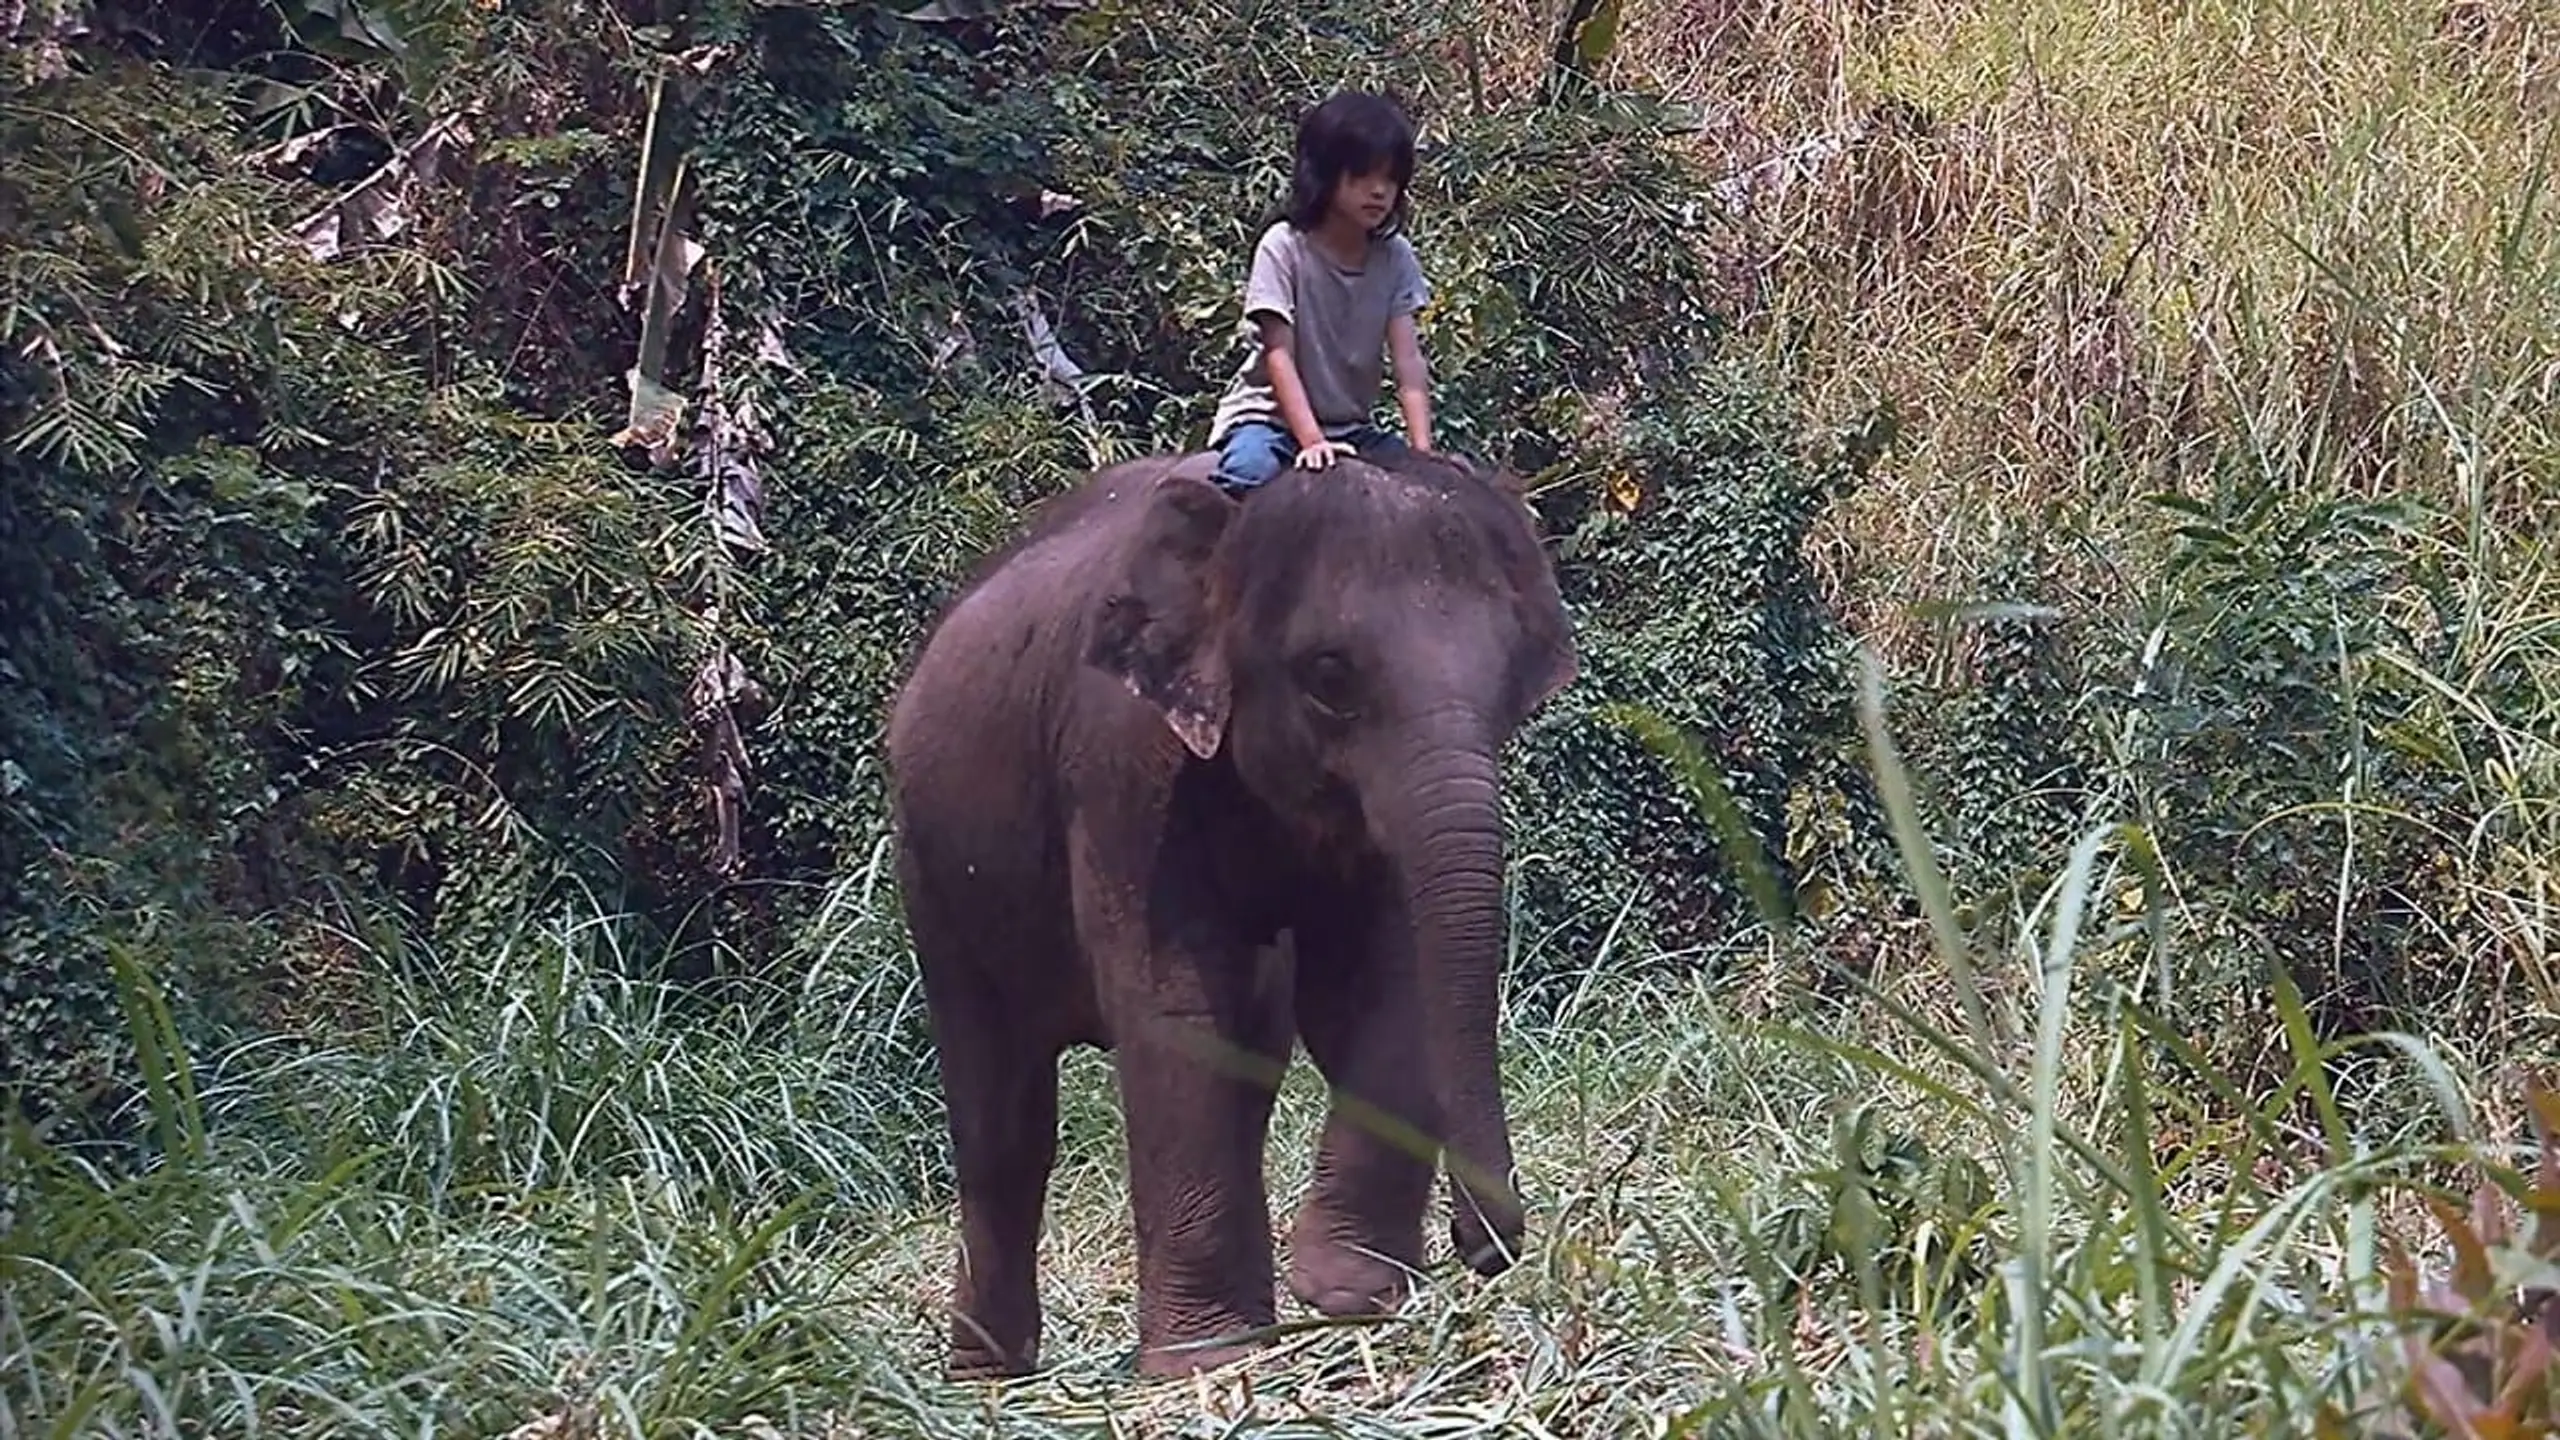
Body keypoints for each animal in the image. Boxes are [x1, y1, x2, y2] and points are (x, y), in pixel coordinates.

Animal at [885, 443, 1576, 1373]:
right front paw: (1208, 1362)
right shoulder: (1122, 761)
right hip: (933, 869)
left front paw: (1344, 1295)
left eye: (1514, 684)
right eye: (1330, 675)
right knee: (1002, 1118)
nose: (1481, 1247)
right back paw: (991, 1379)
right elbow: (1177, 1009)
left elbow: (1383, 984)